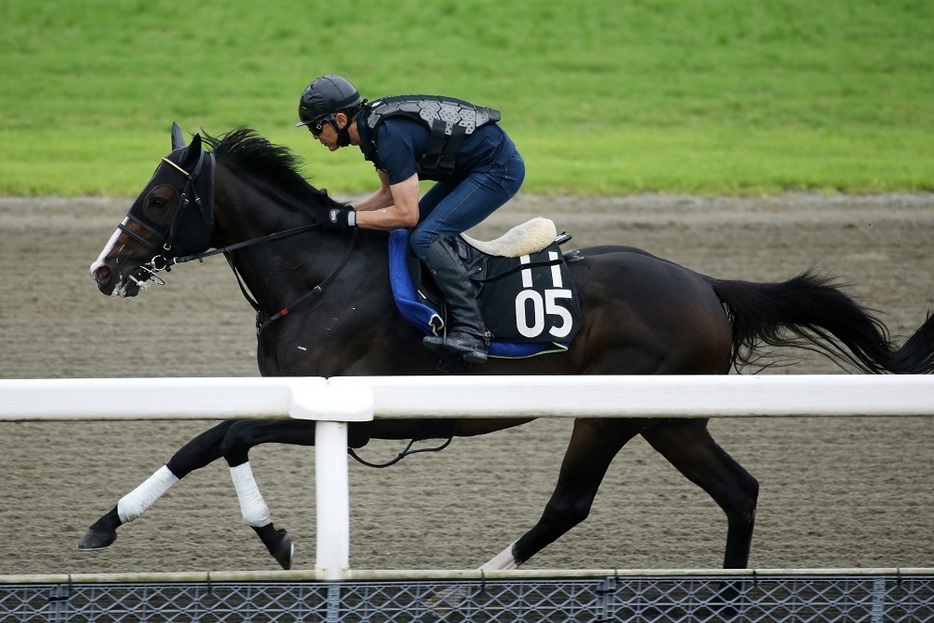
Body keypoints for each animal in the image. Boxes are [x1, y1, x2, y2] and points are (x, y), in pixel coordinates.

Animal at [84, 125, 932, 572]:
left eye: (160, 197)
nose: (102, 270)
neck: (320, 274)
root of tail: (702, 281)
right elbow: (200, 440)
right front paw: (106, 523)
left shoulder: (349, 417)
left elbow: (228, 436)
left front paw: (276, 535)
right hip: (670, 417)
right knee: (740, 490)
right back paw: (726, 593)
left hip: (615, 410)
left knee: (571, 502)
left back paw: (470, 581)